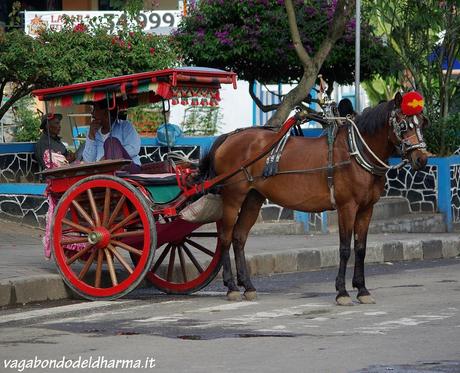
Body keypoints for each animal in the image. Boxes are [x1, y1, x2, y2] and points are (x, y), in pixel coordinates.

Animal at [199, 91, 430, 304]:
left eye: (422, 123)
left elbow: (361, 248)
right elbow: (345, 249)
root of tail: (229, 137)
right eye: (403, 125)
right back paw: (231, 287)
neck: (356, 153)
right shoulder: (347, 207)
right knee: (225, 238)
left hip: (253, 198)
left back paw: (247, 286)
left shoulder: (367, 208)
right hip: (232, 198)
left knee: (239, 237)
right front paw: (342, 292)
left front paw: (362, 290)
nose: (422, 159)